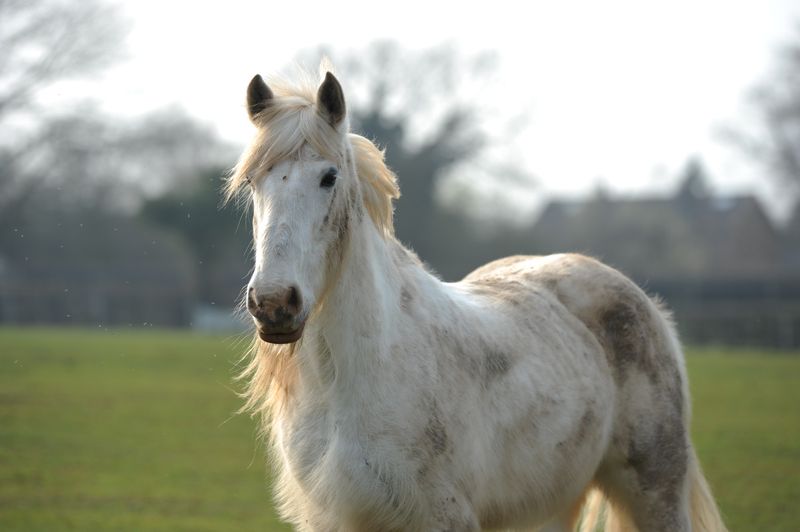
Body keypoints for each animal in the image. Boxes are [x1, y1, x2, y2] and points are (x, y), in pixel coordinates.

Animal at [228, 66, 728, 532]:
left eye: (329, 177)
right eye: (253, 181)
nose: (274, 303)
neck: (353, 378)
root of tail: (645, 304)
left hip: (656, 493)